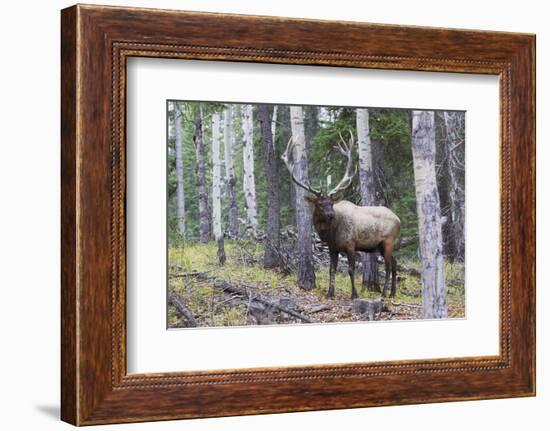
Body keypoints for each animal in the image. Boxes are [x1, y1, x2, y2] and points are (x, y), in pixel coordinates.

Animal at [284, 132, 402, 300]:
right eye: (319, 204)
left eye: (331, 203)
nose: (331, 214)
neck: (331, 234)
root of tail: (399, 220)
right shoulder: (332, 248)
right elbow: (331, 270)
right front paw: (330, 293)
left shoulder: (351, 245)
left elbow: (351, 270)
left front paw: (354, 294)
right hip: (381, 245)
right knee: (394, 263)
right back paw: (392, 293)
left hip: (388, 241)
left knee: (388, 266)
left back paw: (384, 293)